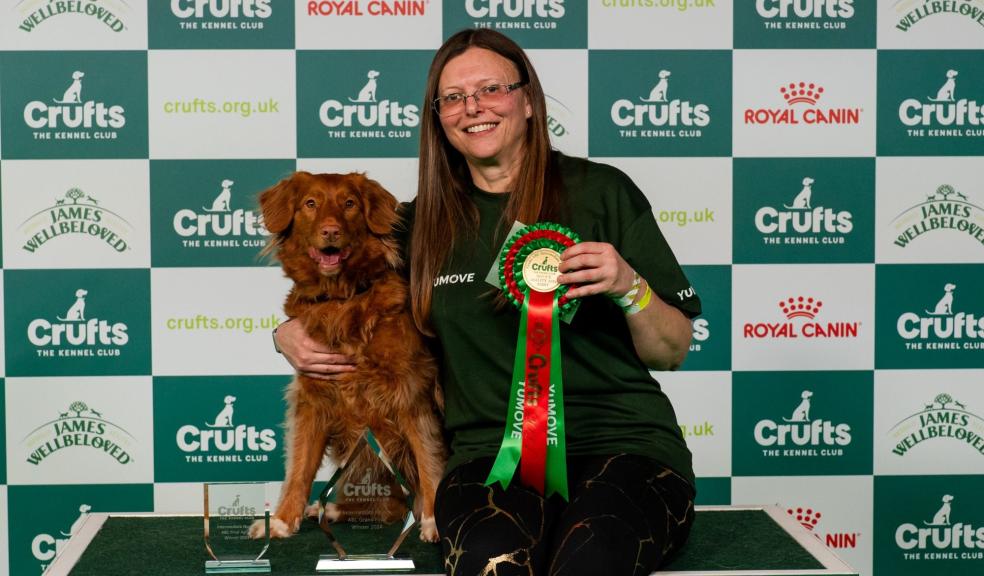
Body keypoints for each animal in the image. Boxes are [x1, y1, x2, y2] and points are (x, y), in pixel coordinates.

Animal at [254, 172, 442, 544]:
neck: (341, 298)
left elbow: (428, 457)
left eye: (350, 204)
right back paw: (329, 509)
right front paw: (282, 520)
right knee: (390, 506)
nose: (330, 231)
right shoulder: (313, 399)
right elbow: (299, 468)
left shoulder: (411, 392)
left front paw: (433, 520)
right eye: (310, 203)